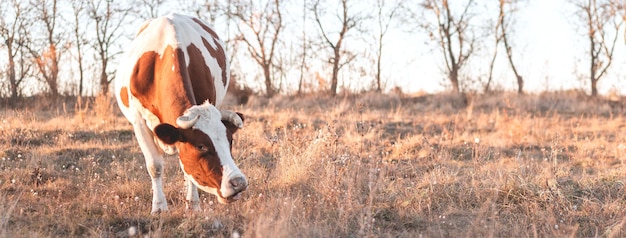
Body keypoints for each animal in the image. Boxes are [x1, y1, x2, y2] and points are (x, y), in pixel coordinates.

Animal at [114, 13, 246, 214]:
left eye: (230, 141)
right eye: (201, 146)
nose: (238, 183)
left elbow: (186, 169)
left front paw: (193, 204)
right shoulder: (139, 122)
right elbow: (155, 166)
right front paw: (159, 207)